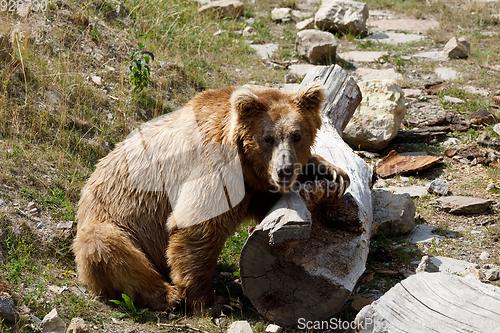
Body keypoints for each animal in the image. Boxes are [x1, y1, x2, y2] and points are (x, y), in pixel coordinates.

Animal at [72, 81, 350, 312]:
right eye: (268, 138)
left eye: (296, 135)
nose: (285, 170)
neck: (246, 163)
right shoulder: (217, 165)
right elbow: (198, 224)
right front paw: (216, 302)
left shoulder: (252, 186)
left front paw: (332, 172)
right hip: (114, 222)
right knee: (107, 248)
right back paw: (168, 295)